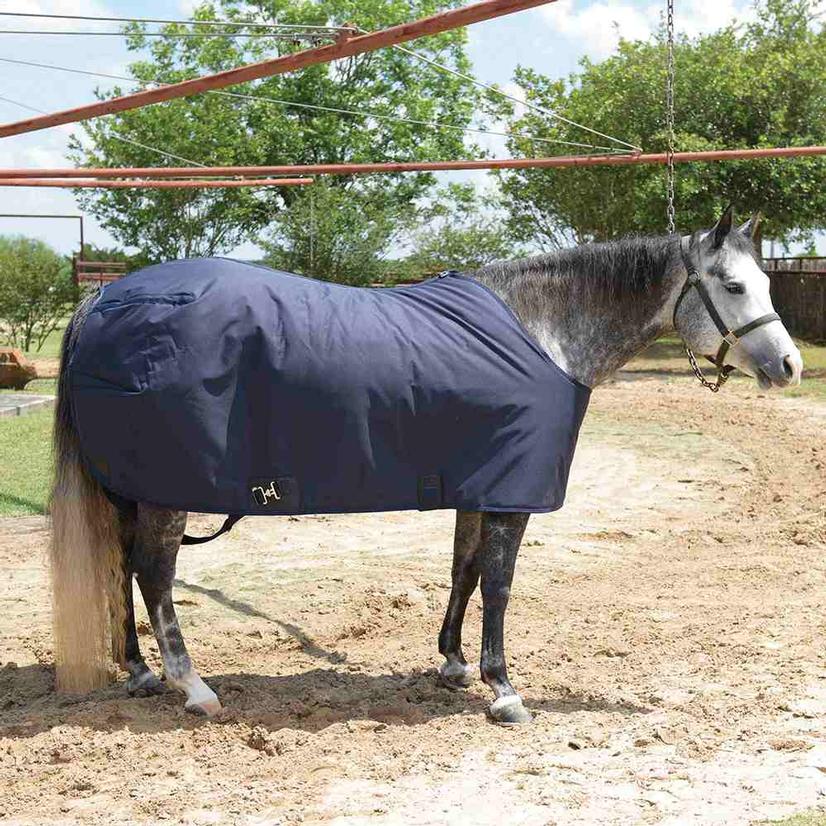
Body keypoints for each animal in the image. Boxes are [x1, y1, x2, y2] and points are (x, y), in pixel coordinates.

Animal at [48, 206, 802, 725]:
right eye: (733, 286)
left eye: (767, 281)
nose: (790, 366)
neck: (541, 331)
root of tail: (104, 299)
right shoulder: (510, 494)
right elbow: (499, 586)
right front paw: (504, 690)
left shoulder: (477, 482)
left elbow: (463, 572)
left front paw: (453, 663)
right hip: (166, 491)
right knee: (154, 575)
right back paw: (194, 686)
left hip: (128, 489)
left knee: (120, 568)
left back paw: (141, 672)